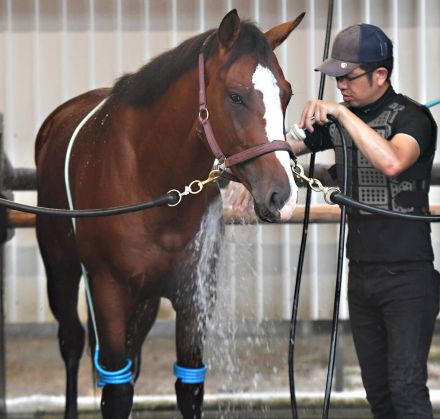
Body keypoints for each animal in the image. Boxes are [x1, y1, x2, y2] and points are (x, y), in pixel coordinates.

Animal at [34, 9, 304, 419]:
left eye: (286, 94)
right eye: (236, 95)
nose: (282, 196)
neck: (150, 181)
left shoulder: (194, 295)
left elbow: (188, 387)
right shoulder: (108, 290)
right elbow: (116, 392)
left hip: (144, 300)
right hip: (61, 272)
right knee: (72, 342)